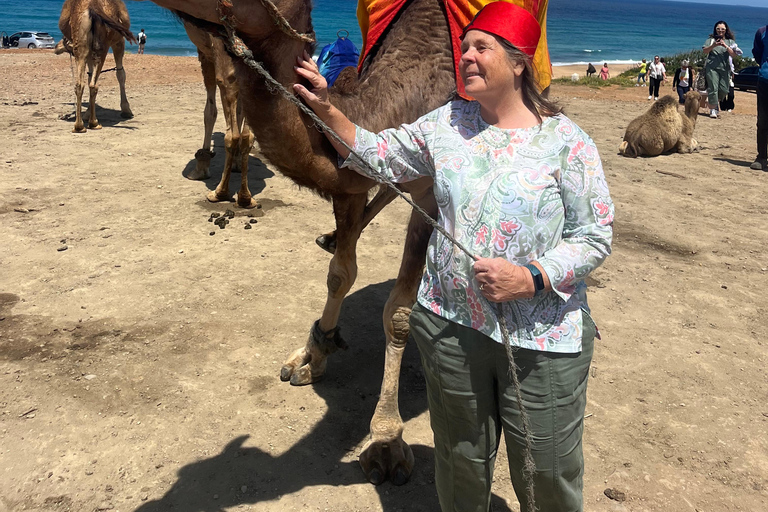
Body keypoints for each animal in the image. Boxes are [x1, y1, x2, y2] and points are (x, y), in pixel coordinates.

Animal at [55, 0, 135, 134]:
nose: (56, 47)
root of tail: (93, 7)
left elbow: (89, 76)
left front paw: (86, 114)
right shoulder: (119, 41)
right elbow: (120, 74)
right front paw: (126, 110)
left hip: (81, 43)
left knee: (80, 84)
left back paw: (79, 126)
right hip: (103, 44)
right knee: (94, 84)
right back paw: (94, 123)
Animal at [184, 20, 260, 208]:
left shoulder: (205, 54)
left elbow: (210, 111)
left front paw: (201, 165)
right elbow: (240, 113)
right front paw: (237, 163)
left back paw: (220, 193)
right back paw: (245, 197)